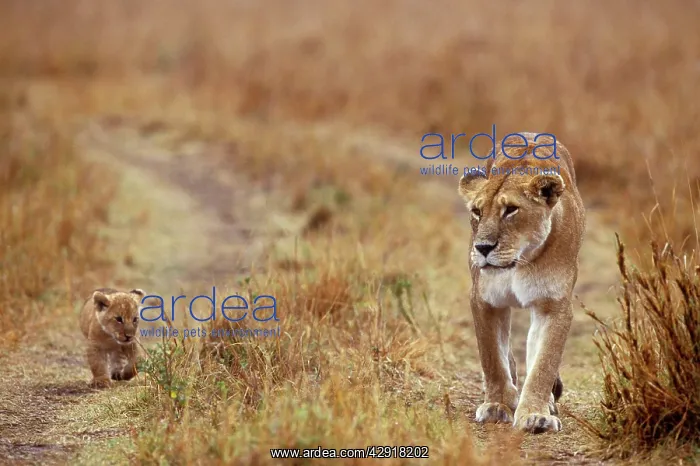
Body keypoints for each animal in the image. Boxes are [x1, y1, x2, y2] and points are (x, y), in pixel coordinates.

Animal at [457, 132, 585, 433]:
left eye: (511, 210)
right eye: (477, 211)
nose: (483, 247)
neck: (519, 261)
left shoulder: (554, 305)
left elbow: (543, 363)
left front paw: (536, 415)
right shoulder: (485, 300)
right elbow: (492, 358)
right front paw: (497, 406)